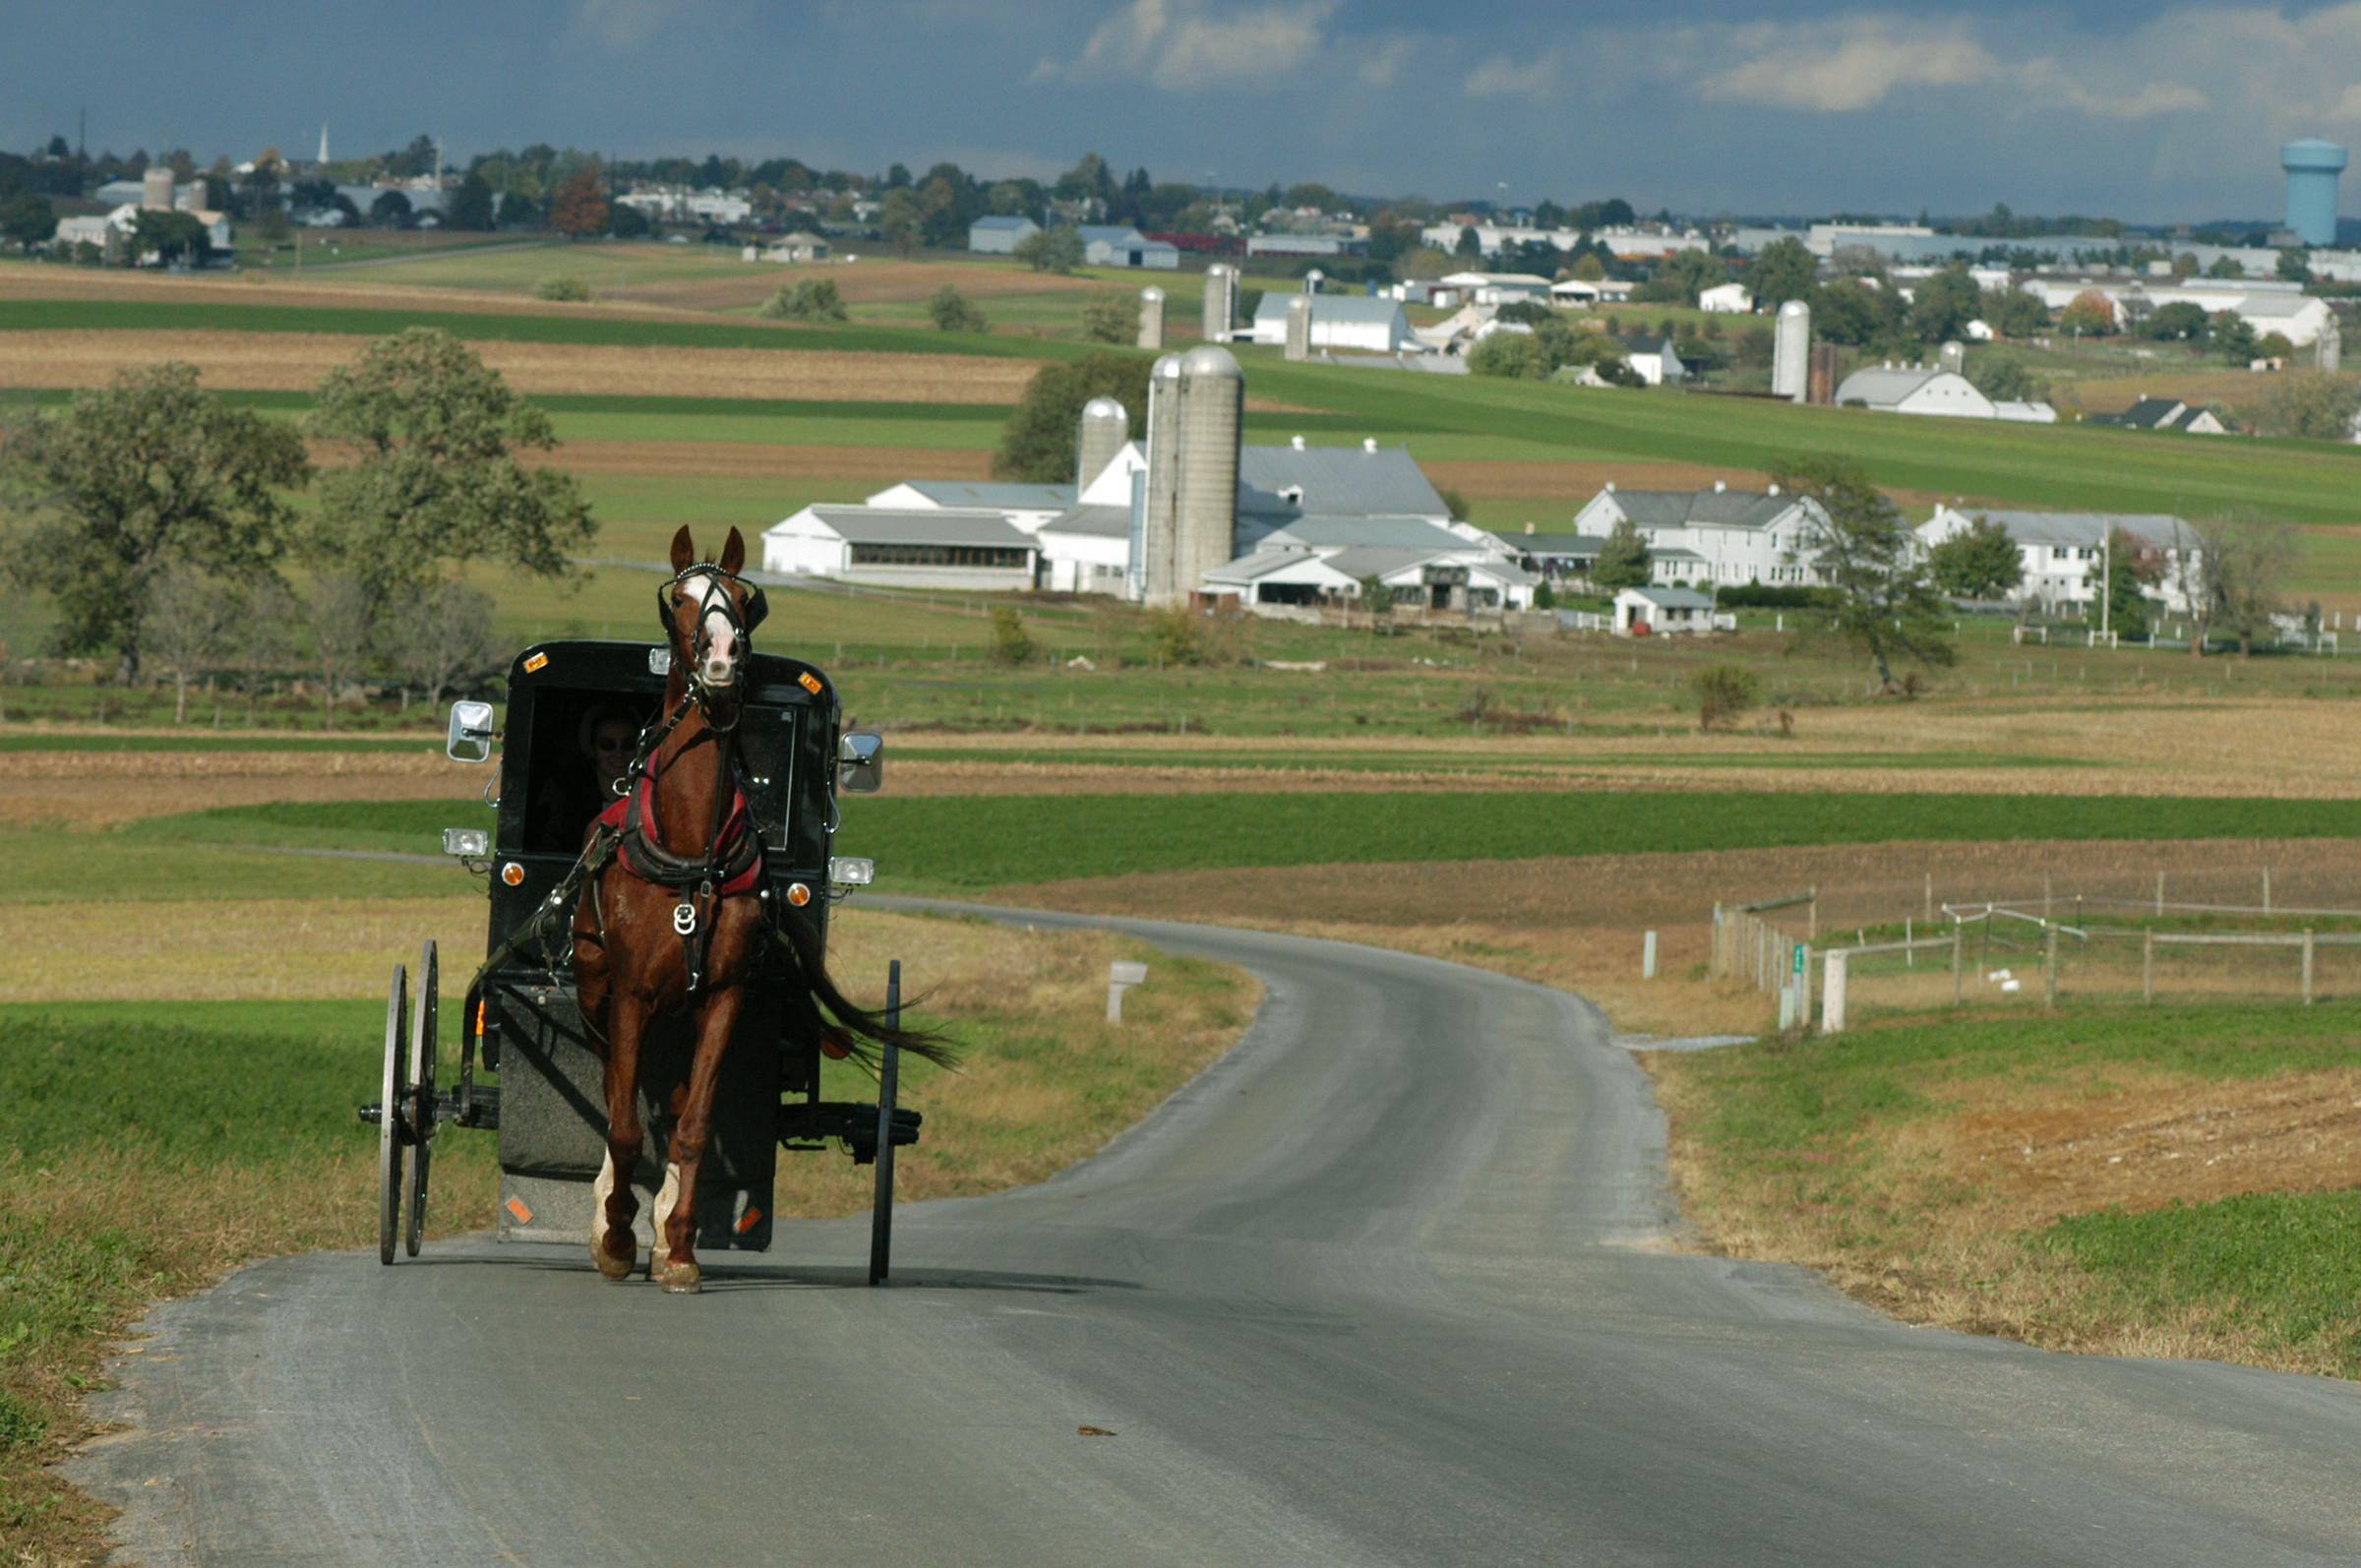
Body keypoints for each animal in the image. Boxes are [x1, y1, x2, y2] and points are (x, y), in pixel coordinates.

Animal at [567, 519, 944, 1294]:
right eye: (679, 600)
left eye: (745, 600)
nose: (721, 655)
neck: (688, 850)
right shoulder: (630, 995)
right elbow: (623, 1123)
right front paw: (616, 1236)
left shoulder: (724, 998)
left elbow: (694, 1124)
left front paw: (677, 1247)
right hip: (595, 991)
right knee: (618, 1094)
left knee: (676, 1100)